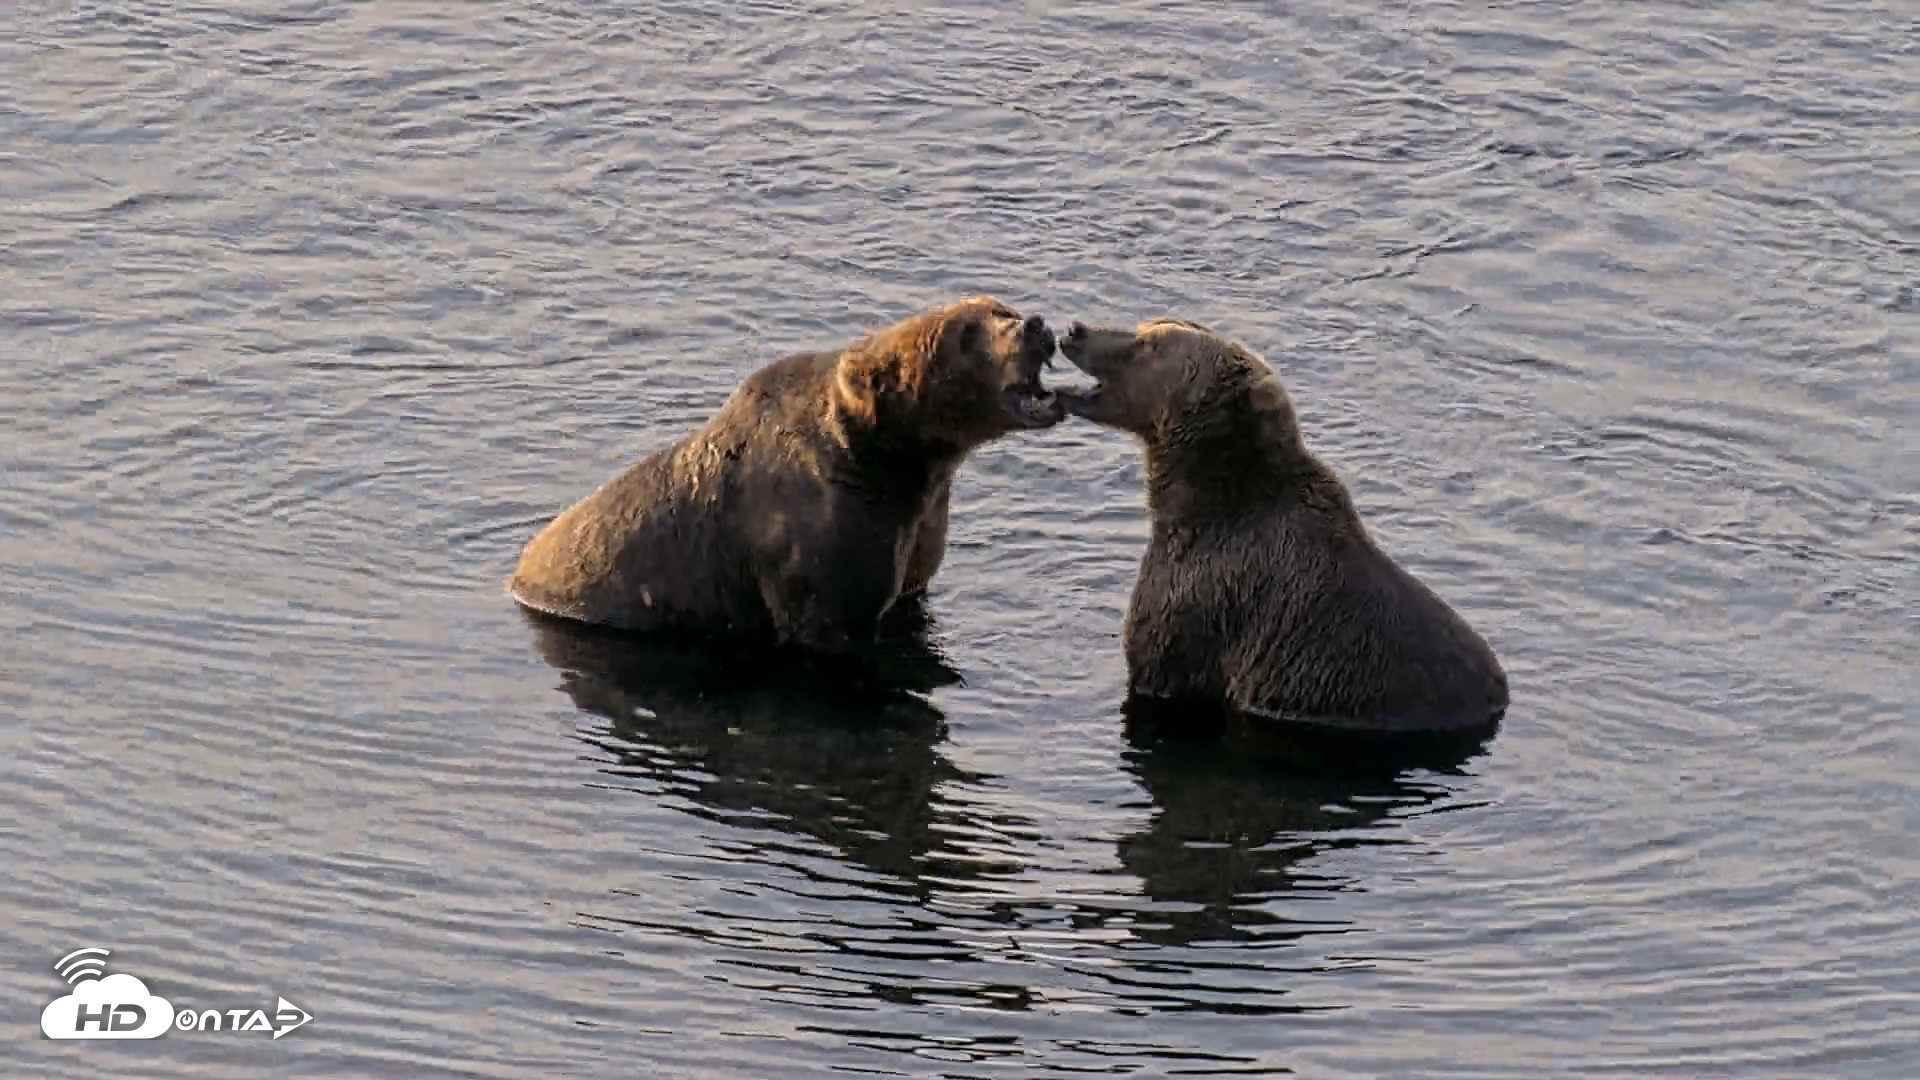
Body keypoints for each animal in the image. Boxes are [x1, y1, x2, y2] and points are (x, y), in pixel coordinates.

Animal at [507, 296, 1063, 660]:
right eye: (965, 335)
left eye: (1003, 309)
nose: (1036, 326)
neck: (900, 460)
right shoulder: (817, 545)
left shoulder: (918, 531)